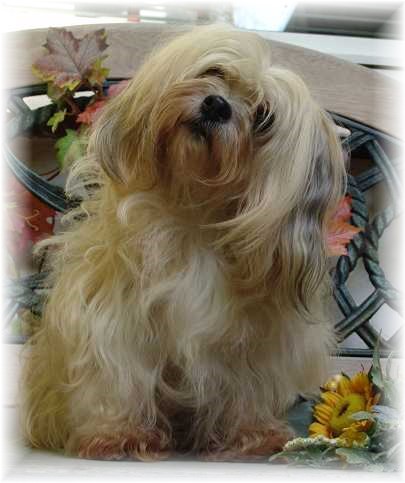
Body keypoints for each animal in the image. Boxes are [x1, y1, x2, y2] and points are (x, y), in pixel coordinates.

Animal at [21, 24, 346, 461]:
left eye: (264, 116)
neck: (196, 214)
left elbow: (248, 388)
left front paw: (251, 434)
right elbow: (119, 376)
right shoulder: (114, 318)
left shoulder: (257, 340)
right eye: (215, 71)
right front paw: (120, 434)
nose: (217, 105)